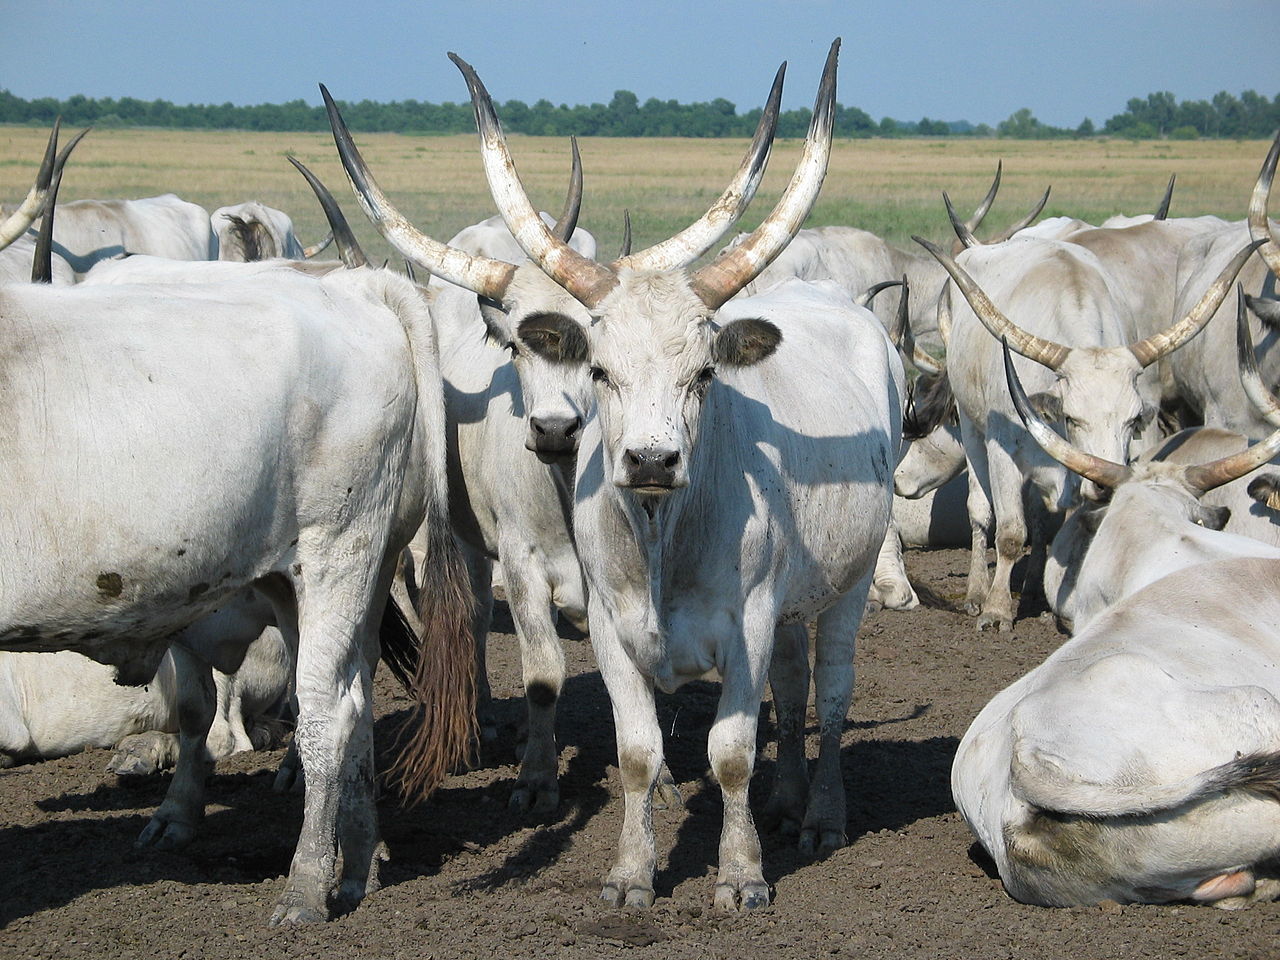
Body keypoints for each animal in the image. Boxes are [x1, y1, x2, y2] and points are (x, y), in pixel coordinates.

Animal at [0, 268, 476, 926]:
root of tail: (354, 285)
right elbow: (193, 708)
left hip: (337, 549)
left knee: (327, 713)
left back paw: (306, 889)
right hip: (320, 576)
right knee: (353, 695)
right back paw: (358, 865)